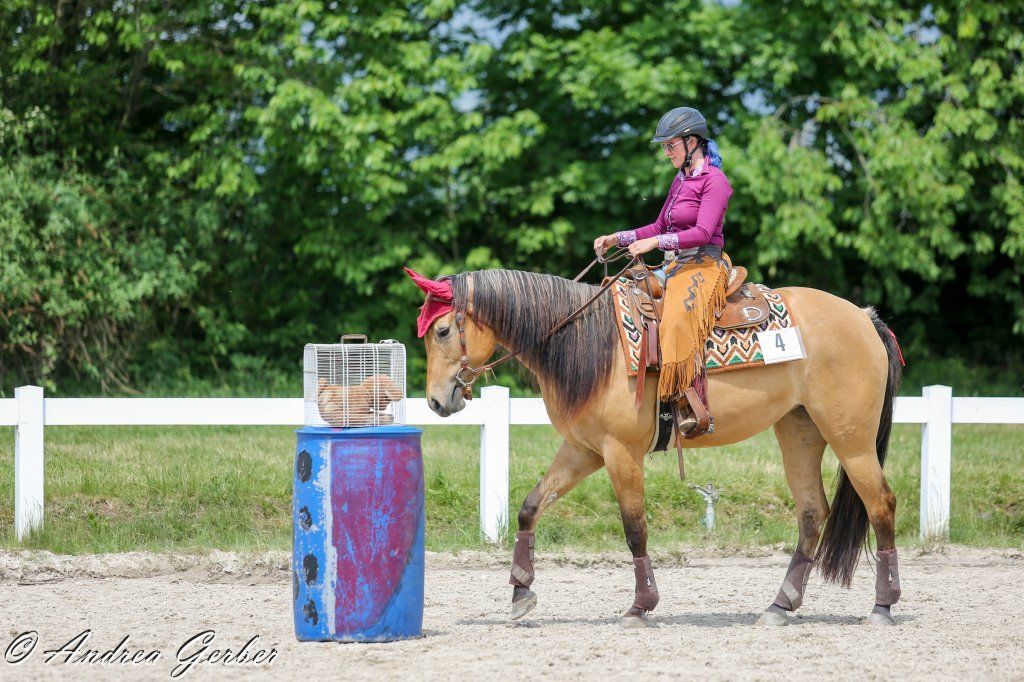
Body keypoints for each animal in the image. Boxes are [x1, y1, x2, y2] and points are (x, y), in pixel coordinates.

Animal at [412, 267, 904, 626]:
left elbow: (635, 529)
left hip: (851, 439)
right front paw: (520, 590)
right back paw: (779, 606)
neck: (594, 345)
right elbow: (531, 506)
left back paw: (883, 605)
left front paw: (640, 606)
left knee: (880, 504)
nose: (436, 401)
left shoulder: (620, 453)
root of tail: (863, 316)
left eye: (442, 331)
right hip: (799, 430)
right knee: (811, 513)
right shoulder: (583, 450)